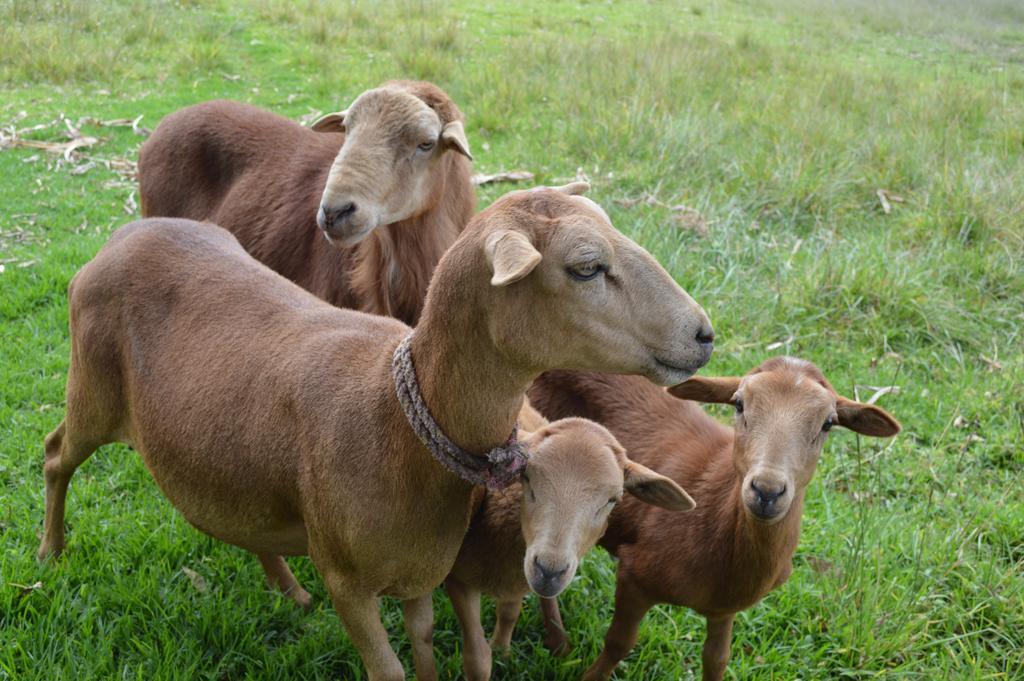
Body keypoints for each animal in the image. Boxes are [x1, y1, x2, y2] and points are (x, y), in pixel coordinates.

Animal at [440, 409, 696, 679]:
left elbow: (509, 613)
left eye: (613, 499)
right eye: (526, 476)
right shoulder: (457, 577)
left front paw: (501, 650)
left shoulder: (516, 579)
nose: (549, 571)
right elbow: (478, 660)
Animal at [532, 358, 901, 675]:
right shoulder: (635, 576)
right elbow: (618, 644)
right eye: (738, 404)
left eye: (828, 423)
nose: (767, 491)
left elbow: (716, 659)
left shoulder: (725, 609)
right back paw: (559, 641)